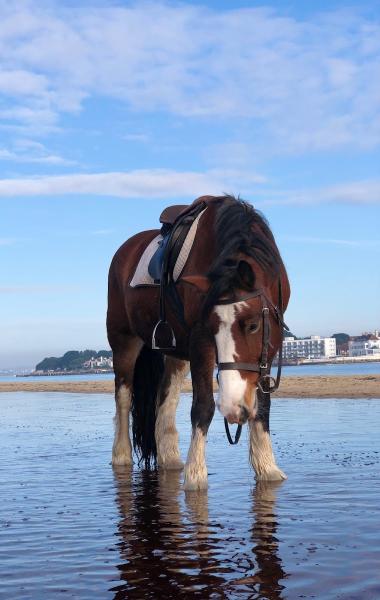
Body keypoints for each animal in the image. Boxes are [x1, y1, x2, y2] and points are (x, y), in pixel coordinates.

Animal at [105, 195, 290, 490]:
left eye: (252, 325)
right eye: (212, 328)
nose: (233, 408)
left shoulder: (269, 347)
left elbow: (263, 406)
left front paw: (267, 468)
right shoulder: (200, 339)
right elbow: (202, 407)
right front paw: (195, 476)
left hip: (174, 350)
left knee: (165, 399)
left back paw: (170, 457)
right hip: (123, 340)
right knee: (123, 396)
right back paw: (121, 455)